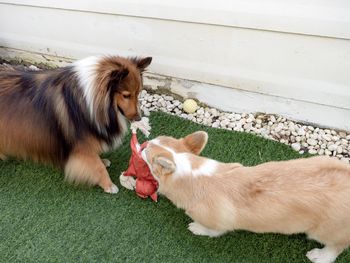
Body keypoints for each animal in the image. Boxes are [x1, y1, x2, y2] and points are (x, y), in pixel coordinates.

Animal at [0, 55, 152, 194]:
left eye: (138, 93)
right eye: (126, 95)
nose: (138, 118)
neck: (90, 100)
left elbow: (96, 160)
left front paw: (103, 161)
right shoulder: (82, 146)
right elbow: (97, 166)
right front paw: (109, 185)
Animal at [141, 132, 350, 263]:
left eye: (148, 154)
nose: (143, 145)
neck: (192, 172)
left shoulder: (216, 225)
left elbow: (210, 231)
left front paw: (196, 228)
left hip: (325, 231)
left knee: (336, 246)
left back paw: (320, 257)